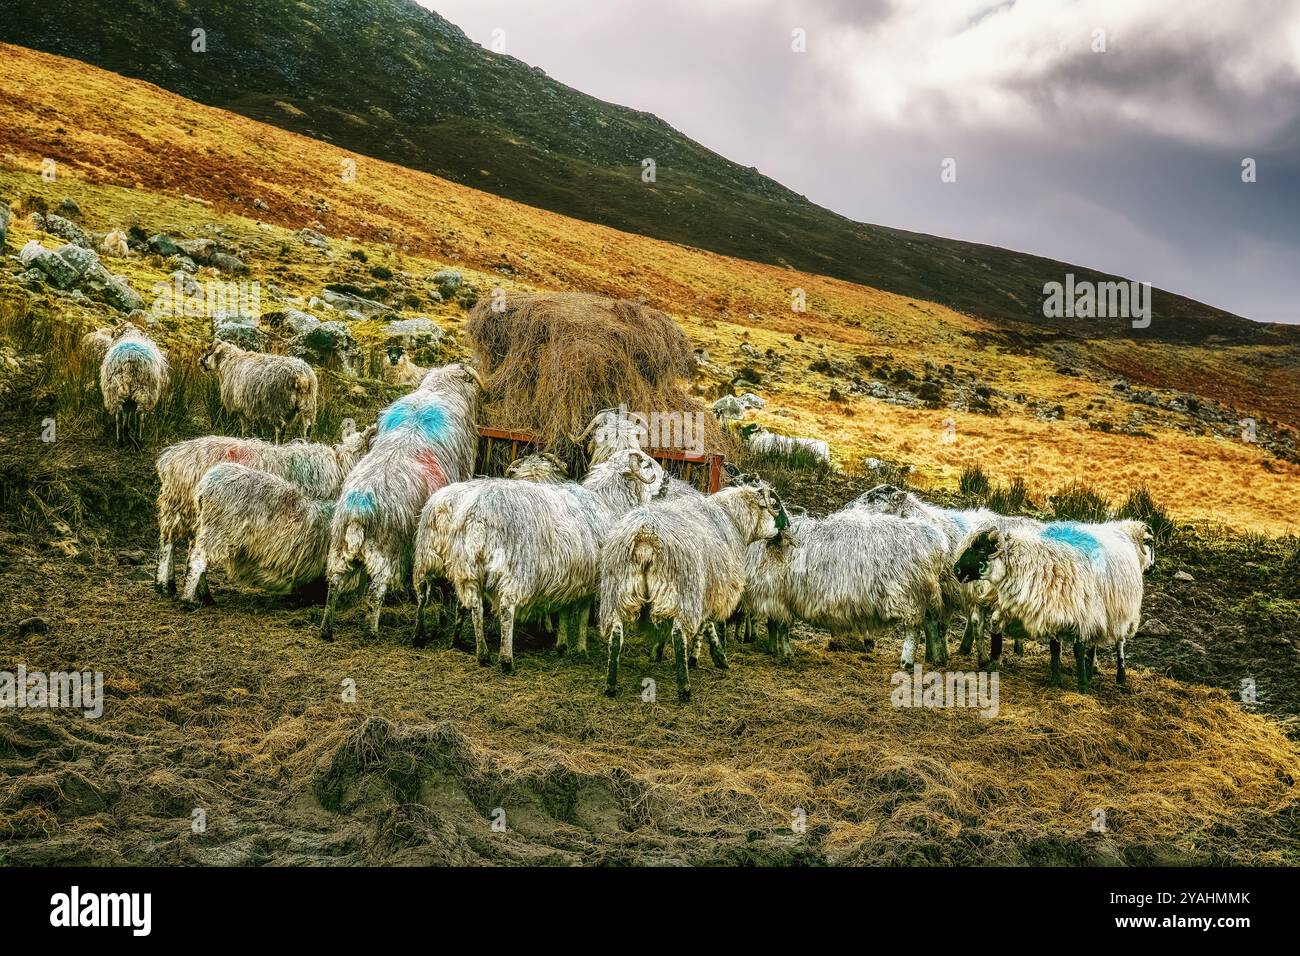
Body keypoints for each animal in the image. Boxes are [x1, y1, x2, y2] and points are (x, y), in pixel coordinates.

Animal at [322, 366, 486, 642]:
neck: (439, 389)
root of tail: (358, 511)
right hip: (387, 548)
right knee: (377, 590)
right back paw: (372, 631)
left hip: (340, 543)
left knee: (334, 582)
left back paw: (326, 629)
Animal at [951, 520, 1154, 691]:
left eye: (979, 550)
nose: (956, 570)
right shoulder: (1056, 611)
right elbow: (1056, 647)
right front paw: (1057, 679)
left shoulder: (1083, 614)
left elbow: (1078, 649)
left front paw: (1083, 685)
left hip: (1117, 611)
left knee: (1118, 641)